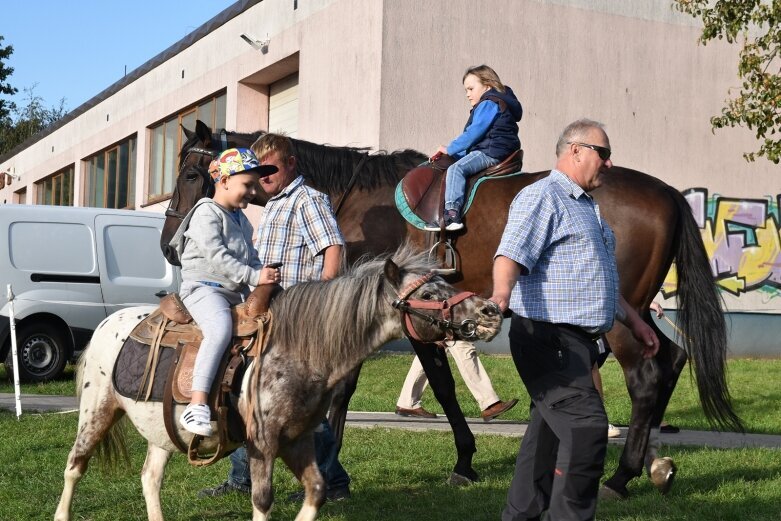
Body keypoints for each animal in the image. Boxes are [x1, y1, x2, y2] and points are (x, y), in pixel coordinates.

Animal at [161, 120, 740, 498]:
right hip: (638, 309)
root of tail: (668, 192)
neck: (355, 196)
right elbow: (434, 382)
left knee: (646, 375)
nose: (170, 246)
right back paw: (648, 462)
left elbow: (418, 383)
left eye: (191, 173)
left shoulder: (403, 312)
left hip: (613, 314)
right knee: (671, 359)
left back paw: (621, 476)